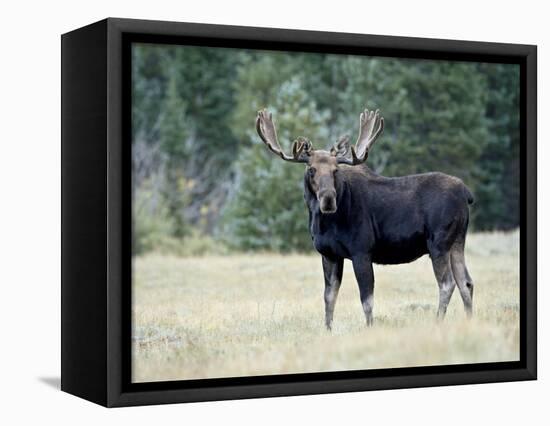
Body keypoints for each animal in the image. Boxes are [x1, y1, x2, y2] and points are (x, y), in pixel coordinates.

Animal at [256, 108, 476, 328]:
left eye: (335, 170)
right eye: (312, 169)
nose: (328, 199)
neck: (324, 223)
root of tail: (466, 193)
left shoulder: (361, 250)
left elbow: (366, 299)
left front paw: (369, 327)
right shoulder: (329, 254)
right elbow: (329, 297)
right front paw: (327, 329)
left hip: (439, 243)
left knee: (447, 283)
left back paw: (438, 321)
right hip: (457, 242)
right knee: (466, 282)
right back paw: (468, 321)